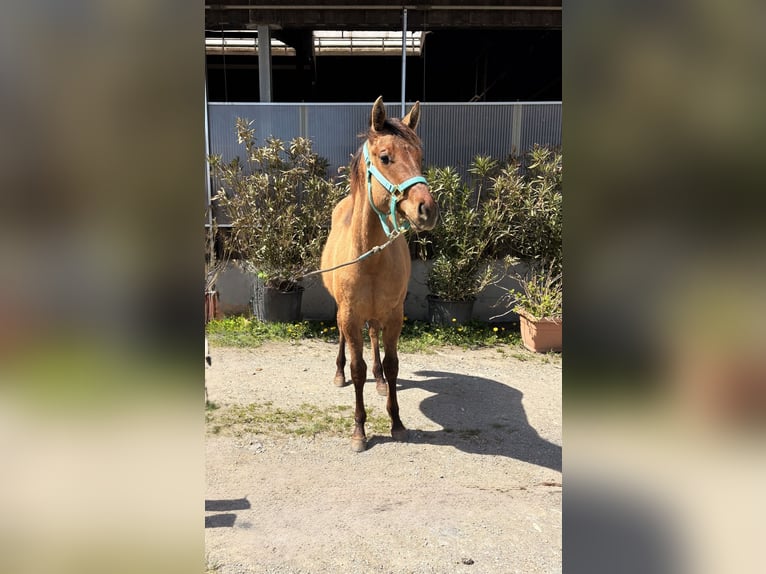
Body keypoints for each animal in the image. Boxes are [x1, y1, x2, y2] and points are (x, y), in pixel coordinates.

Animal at [321, 97, 439, 452]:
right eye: (386, 157)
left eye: (419, 157)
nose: (427, 209)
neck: (370, 258)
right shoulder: (350, 315)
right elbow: (358, 369)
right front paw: (359, 430)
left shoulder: (394, 315)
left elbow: (392, 364)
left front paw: (397, 423)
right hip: (344, 312)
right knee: (343, 339)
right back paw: (339, 374)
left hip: (377, 315)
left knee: (374, 340)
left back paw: (382, 382)